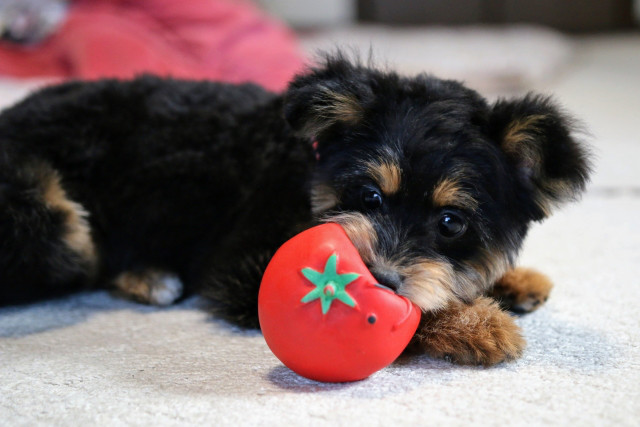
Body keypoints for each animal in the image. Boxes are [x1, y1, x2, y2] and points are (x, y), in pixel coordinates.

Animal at [0, 55, 592, 366]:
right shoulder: (245, 265)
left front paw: (512, 280)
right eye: (369, 196)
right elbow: (414, 316)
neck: (307, 173)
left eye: (451, 223)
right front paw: (477, 326)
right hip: (57, 223)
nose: (377, 276)